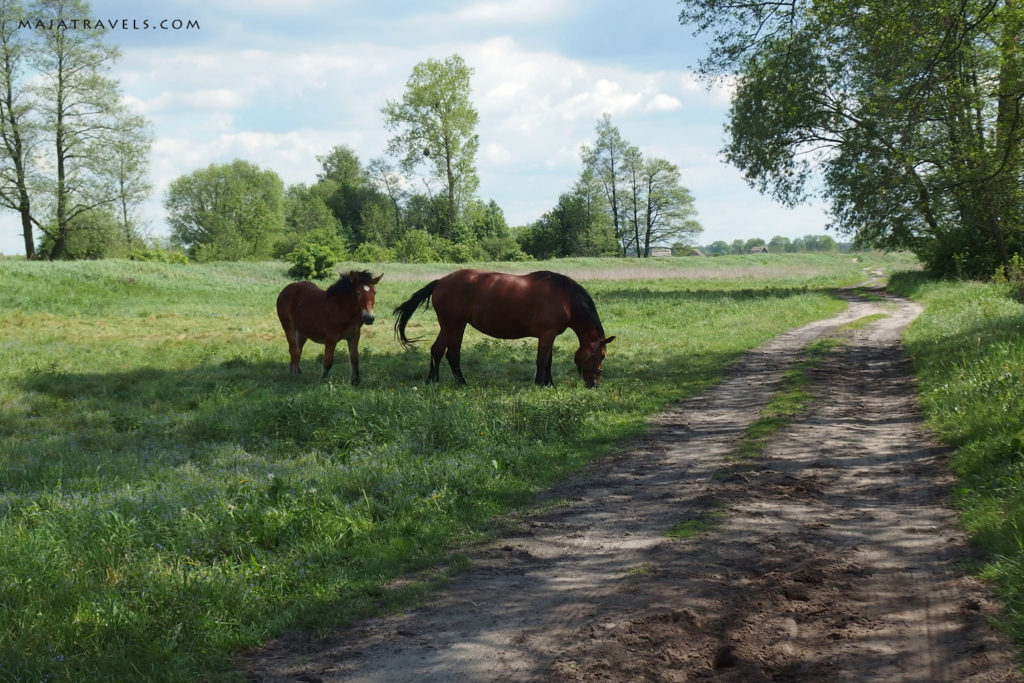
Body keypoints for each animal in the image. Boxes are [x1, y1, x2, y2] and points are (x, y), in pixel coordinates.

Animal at [393, 272, 614, 389]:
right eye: (601, 356)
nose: (594, 384)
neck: (566, 299)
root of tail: (440, 282)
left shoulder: (549, 336)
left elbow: (548, 361)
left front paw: (548, 384)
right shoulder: (547, 334)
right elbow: (542, 361)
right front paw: (539, 384)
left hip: (448, 326)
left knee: (437, 351)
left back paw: (433, 381)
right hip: (455, 326)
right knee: (452, 354)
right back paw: (461, 382)